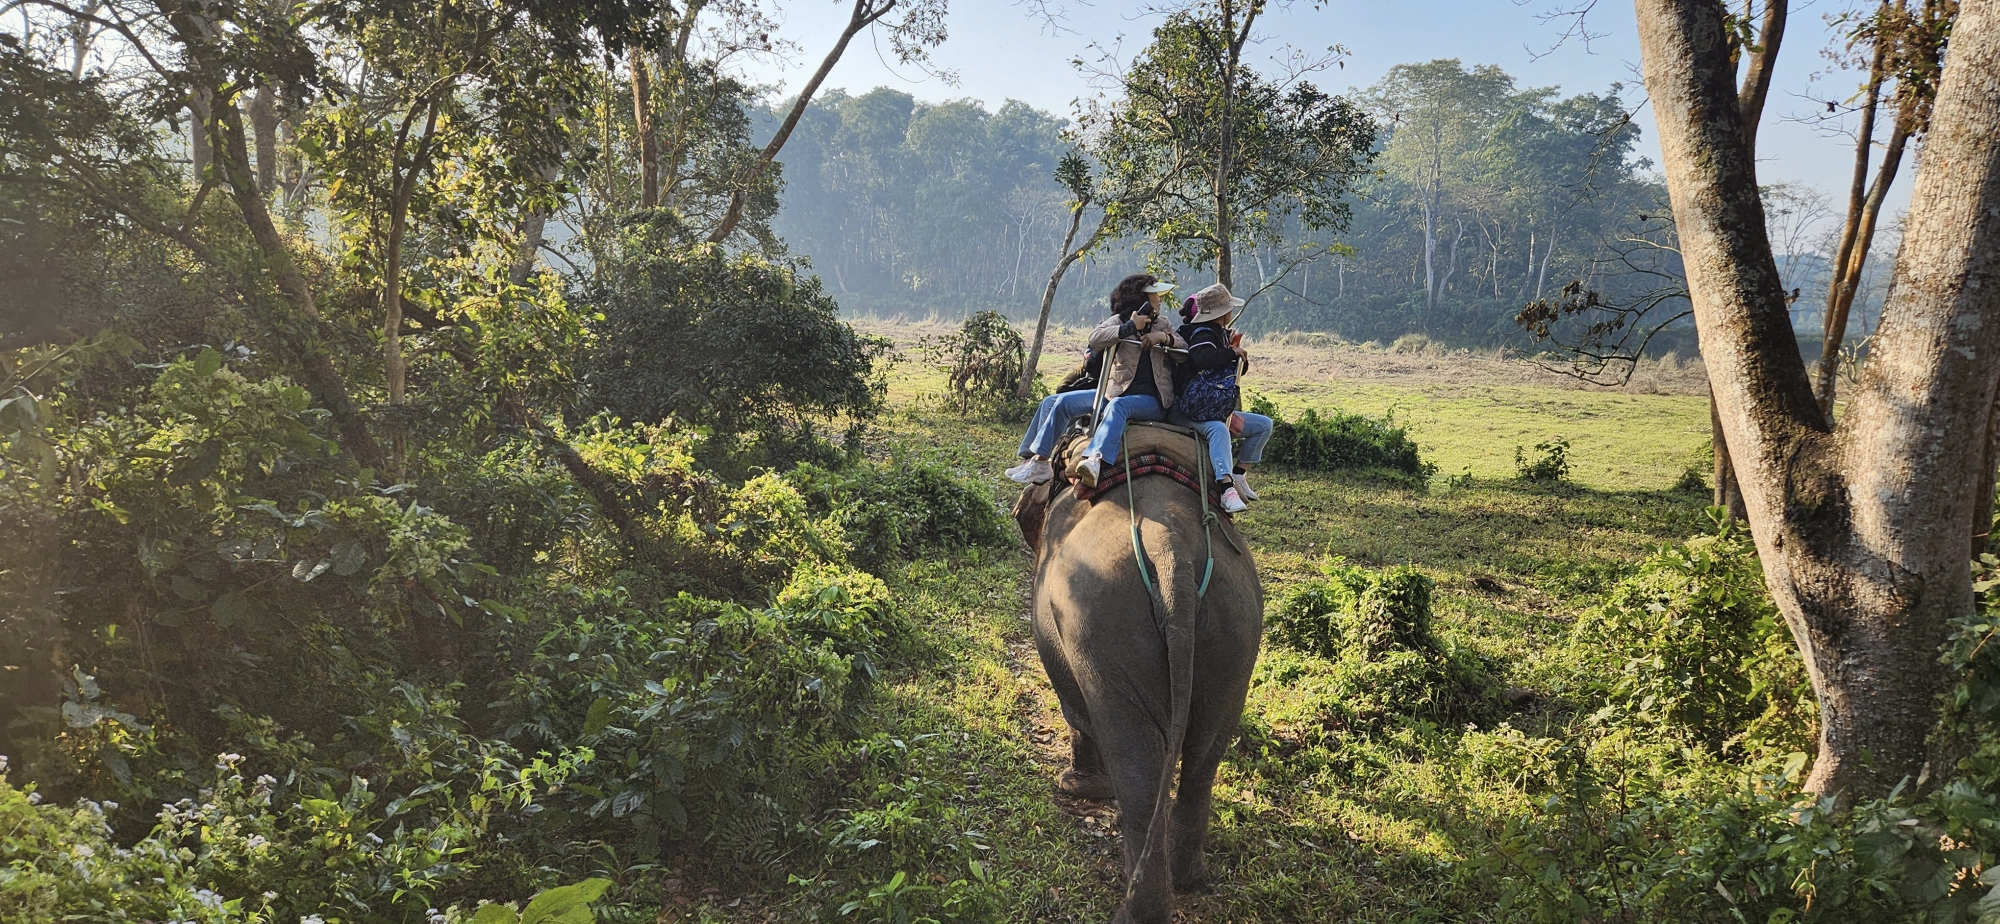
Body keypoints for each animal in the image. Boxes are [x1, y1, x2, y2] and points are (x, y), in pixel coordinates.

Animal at [1016, 436, 1264, 924]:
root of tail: (1172, 552)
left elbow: (1072, 704)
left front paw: (1074, 786)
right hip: (1236, 631)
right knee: (1206, 751)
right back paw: (1187, 878)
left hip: (1103, 626)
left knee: (1133, 757)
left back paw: (1137, 905)